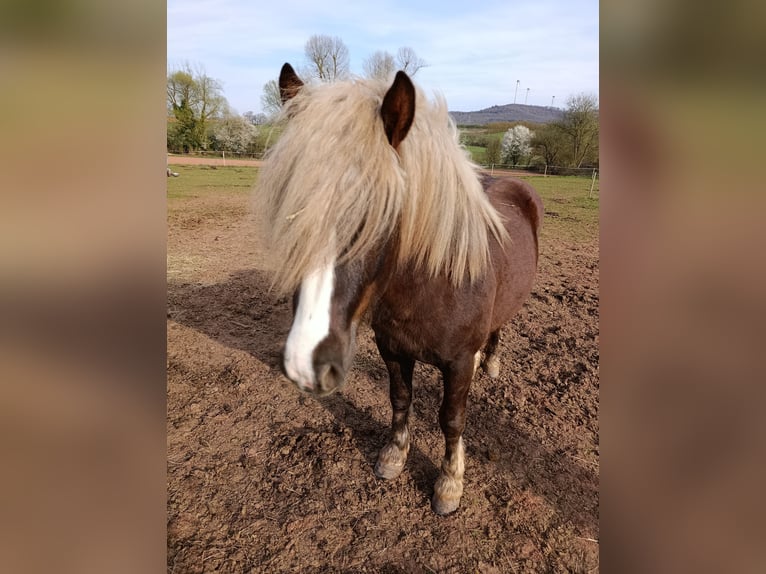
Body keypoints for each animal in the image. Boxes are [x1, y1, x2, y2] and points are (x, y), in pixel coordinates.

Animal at [256, 63, 543, 515]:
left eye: (381, 215)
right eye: (292, 211)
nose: (306, 363)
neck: (430, 288)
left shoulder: (457, 364)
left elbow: (451, 419)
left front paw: (449, 482)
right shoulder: (392, 349)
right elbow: (400, 399)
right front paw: (393, 455)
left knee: (499, 327)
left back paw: (492, 362)